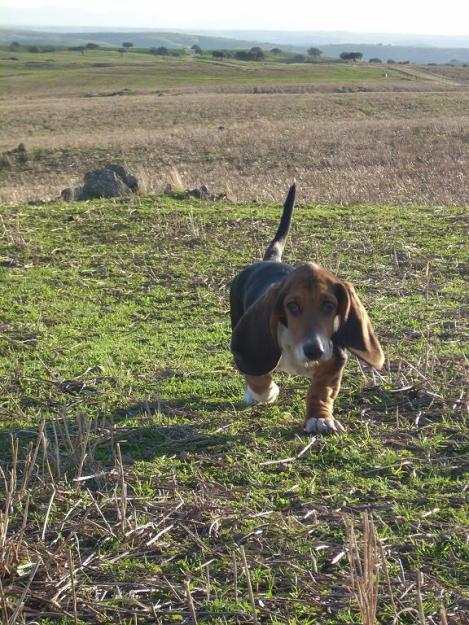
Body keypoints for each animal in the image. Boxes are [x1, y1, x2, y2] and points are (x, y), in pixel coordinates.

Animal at [229, 183, 382, 432]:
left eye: (329, 306)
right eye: (292, 307)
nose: (314, 350)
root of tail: (269, 260)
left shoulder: (335, 358)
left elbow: (321, 390)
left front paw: (319, 418)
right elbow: (258, 377)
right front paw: (267, 392)